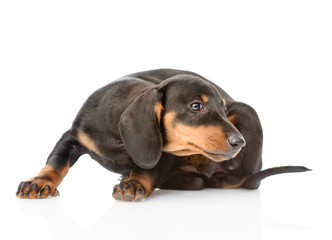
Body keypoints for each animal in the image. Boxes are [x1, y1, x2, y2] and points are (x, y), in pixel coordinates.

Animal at [15, 69, 310, 201]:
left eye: (223, 110)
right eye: (196, 106)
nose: (240, 142)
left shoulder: (164, 154)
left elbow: (150, 169)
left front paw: (134, 183)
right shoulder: (74, 136)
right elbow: (56, 162)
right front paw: (39, 182)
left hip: (247, 113)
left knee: (220, 179)